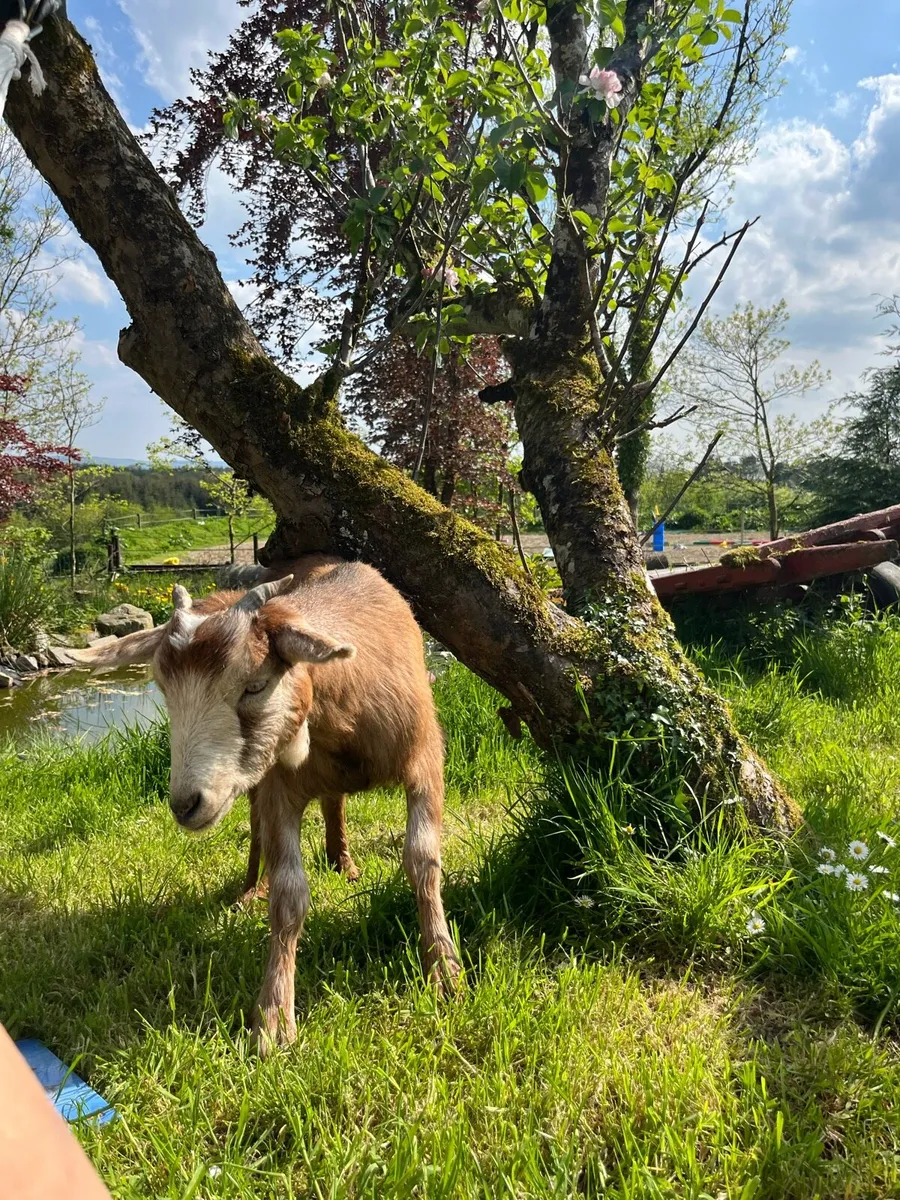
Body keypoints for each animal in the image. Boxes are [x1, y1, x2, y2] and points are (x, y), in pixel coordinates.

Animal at [71, 556, 459, 1052]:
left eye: (254, 685)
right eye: (163, 689)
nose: (185, 804)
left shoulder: (425, 757)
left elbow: (422, 858)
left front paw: (444, 968)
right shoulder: (278, 788)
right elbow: (288, 895)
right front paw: (274, 1019)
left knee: (334, 801)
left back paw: (342, 861)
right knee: (261, 825)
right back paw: (251, 888)